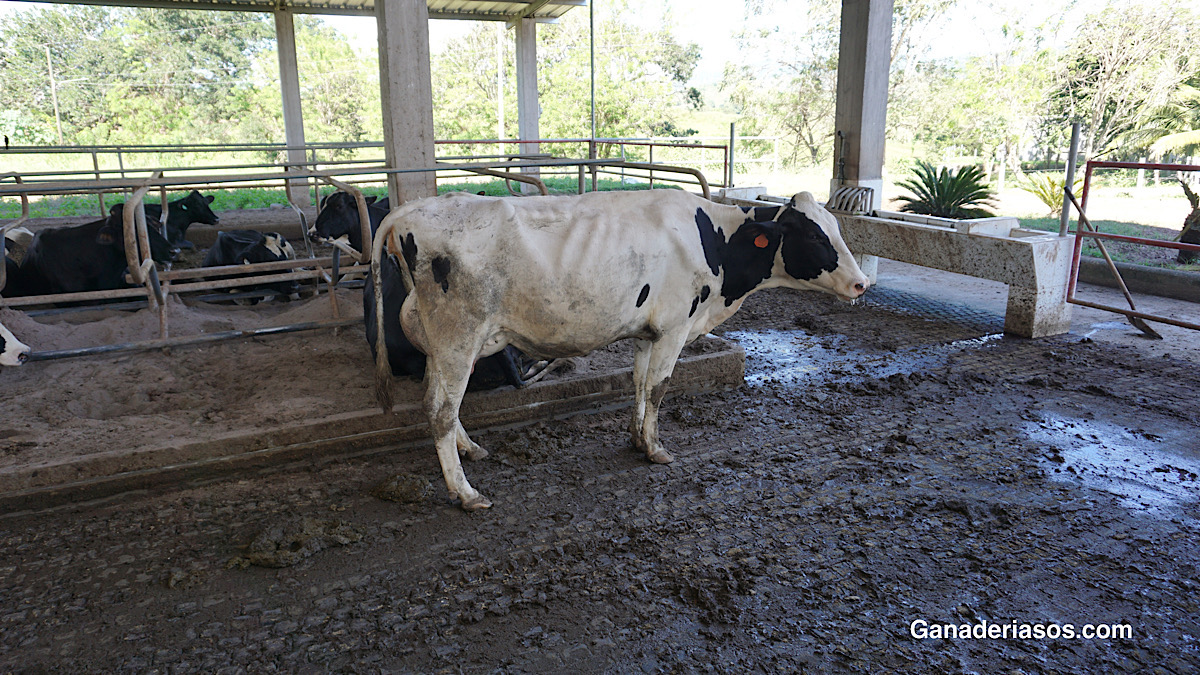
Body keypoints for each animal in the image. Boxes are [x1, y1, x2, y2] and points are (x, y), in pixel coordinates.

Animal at [369, 186, 868, 506]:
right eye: (812, 235)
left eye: (837, 228)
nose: (861, 283)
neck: (715, 242)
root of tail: (410, 210)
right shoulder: (674, 327)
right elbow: (661, 388)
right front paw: (656, 449)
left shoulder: (649, 332)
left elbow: (640, 384)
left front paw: (636, 438)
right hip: (459, 334)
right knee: (441, 409)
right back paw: (465, 492)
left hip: (442, 341)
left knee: (434, 399)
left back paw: (470, 450)